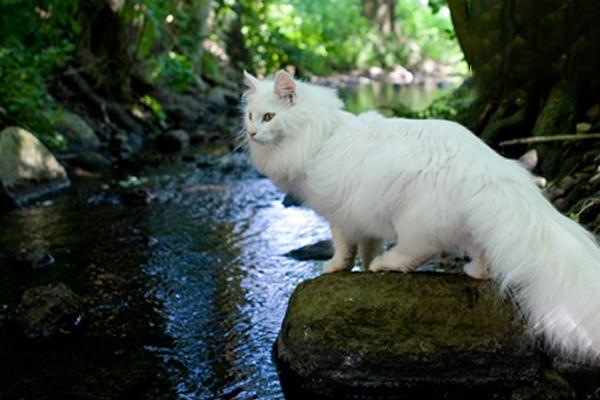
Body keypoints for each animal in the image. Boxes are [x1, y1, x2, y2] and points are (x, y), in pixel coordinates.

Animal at [240, 70, 600, 360]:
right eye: (250, 116)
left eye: (269, 117)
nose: (251, 133)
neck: (321, 135)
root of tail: (487, 166)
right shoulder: (367, 221)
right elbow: (366, 247)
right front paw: (361, 267)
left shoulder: (340, 217)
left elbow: (343, 249)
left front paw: (335, 268)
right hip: (467, 223)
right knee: (483, 257)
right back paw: (473, 271)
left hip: (415, 222)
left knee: (418, 251)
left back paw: (386, 265)